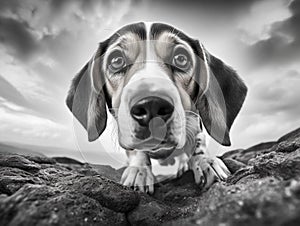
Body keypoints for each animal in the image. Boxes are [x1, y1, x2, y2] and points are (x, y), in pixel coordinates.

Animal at [67, 22, 247, 193]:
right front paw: (139, 170)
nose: (151, 104)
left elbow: (198, 142)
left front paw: (205, 161)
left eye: (181, 58)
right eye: (116, 61)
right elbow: (136, 151)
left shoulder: (195, 123)